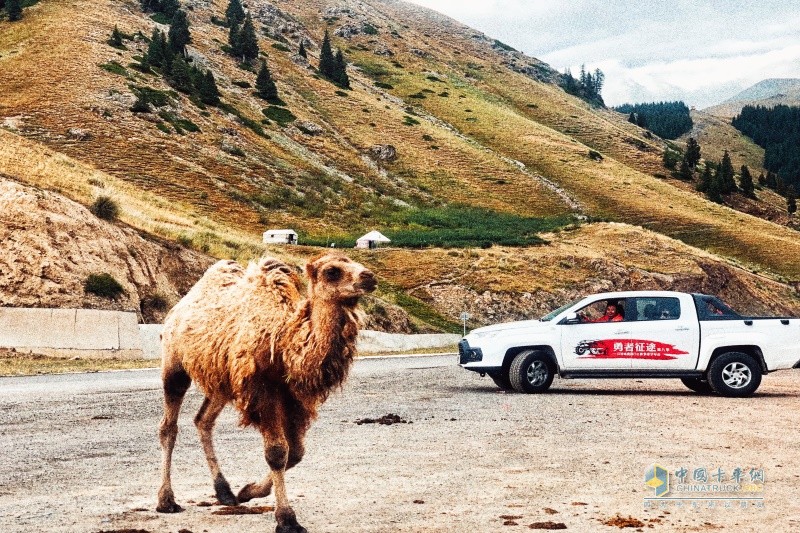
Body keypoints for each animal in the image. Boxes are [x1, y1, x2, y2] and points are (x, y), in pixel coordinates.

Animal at [159, 252, 378, 532]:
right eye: (332, 271)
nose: (369, 277)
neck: (284, 344)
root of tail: (179, 307)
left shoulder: (294, 398)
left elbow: (296, 453)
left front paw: (247, 491)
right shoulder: (263, 391)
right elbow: (276, 452)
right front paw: (286, 519)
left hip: (222, 382)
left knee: (202, 421)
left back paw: (225, 492)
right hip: (174, 363)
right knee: (168, 426)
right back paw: (166, 500)